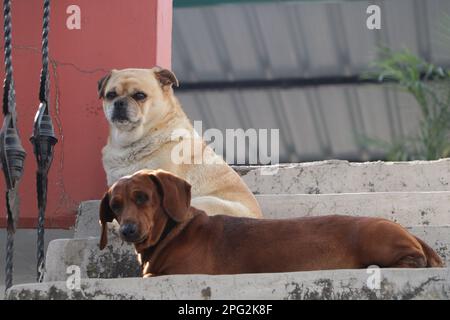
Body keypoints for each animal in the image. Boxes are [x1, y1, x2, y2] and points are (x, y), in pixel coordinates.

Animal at [100, 169, 444, 276]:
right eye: (115, 206)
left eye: (142, 197)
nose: (128, 231)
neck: (174, 232)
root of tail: (412, 235)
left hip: (376, 239)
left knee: (414, 261)